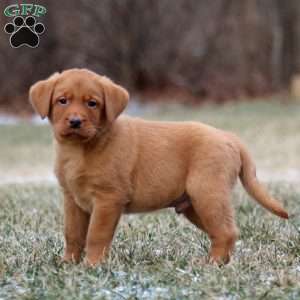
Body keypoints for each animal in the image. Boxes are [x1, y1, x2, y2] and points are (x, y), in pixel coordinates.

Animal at [28, 69, 288, 266]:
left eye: (92, 103)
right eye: (62, 101)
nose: (75, 122)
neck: (80, 149)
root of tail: (229, 137)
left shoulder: (108, 199)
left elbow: (96, 236)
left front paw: (92, 265)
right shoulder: (73, 199)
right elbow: (73, 234)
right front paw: (68, 264)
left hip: (208, 193)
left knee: (226, 232)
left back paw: (212, 265)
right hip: (194, 205)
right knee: (224, 232)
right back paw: (216, 262)